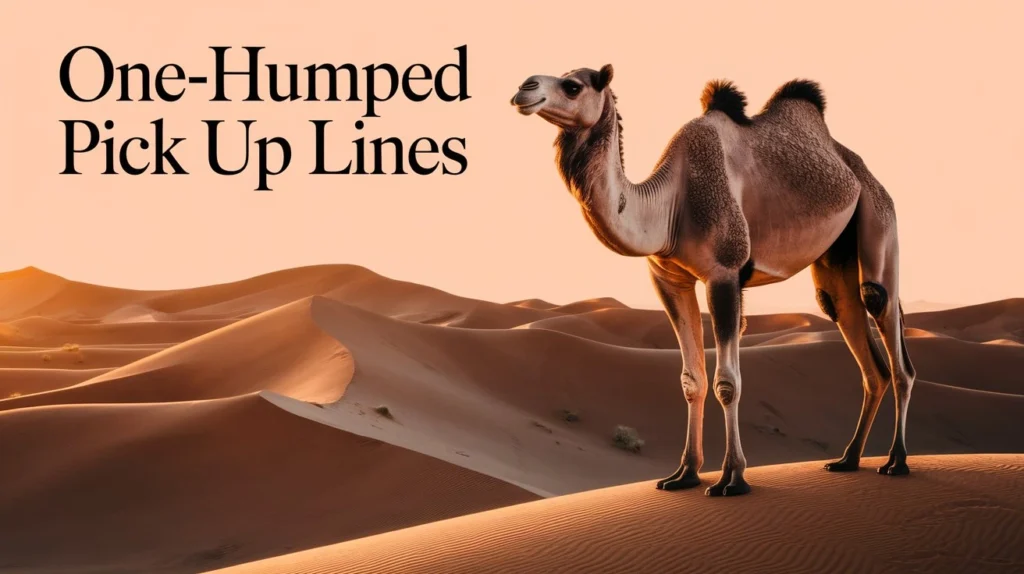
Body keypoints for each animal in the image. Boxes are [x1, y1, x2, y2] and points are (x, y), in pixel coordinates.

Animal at [510, 65, 916, 496]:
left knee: (887, 325)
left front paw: (732, 479)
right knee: (860, 343)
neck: (669, 205)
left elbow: (727, 382)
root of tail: (859, 169)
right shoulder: (669, 280)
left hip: (879, 217)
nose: (524, 88)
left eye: (573, 86)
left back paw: (896, 462)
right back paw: (847, 460)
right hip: (834, 258)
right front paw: (684, 474)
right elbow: (692, 380)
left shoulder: (724, 273)